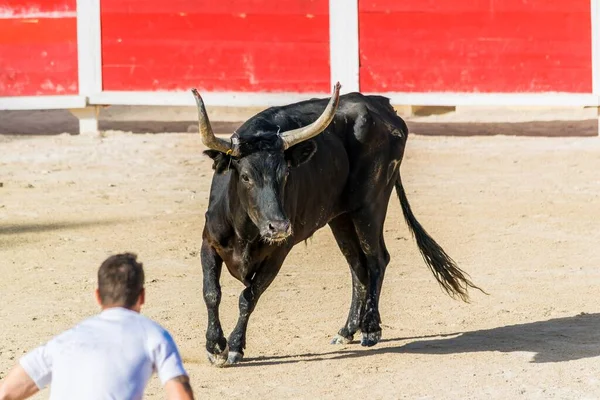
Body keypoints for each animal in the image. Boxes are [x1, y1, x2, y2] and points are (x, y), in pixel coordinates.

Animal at [192, 83, 482, 366]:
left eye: (285, 174)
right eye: (245, 176)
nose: (279, 227)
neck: (246, 232)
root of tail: (383, 106)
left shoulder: (278, 253)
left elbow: (248, 297)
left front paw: (234, 347)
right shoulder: (209, 243)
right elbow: (211, 293)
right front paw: (214, 346)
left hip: (370, 206)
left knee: (377, 259)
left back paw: (371, 329)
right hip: (340, 218)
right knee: (358, 267)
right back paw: (347, 330)